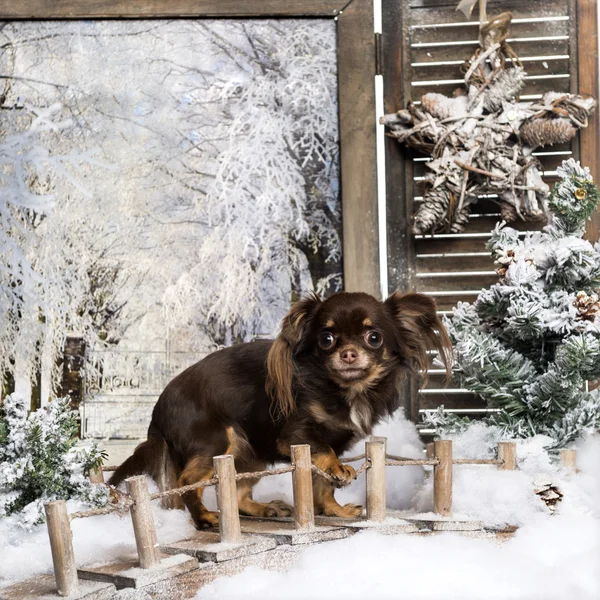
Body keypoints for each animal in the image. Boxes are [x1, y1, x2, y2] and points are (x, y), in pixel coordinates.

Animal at [110, 292, 452, 528]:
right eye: (326, 339)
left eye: (374, 337)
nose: (349, 353)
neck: (342, 390)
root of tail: (157, 410)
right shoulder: (298, 434)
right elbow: (325, 454)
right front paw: (339, 474)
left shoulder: (320, 446)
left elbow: (322, 484)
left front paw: (335, 509)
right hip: (218, 442)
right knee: (186, 483)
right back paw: (206, 518)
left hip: (250, 453)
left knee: (238, 493)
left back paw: (264, 509)